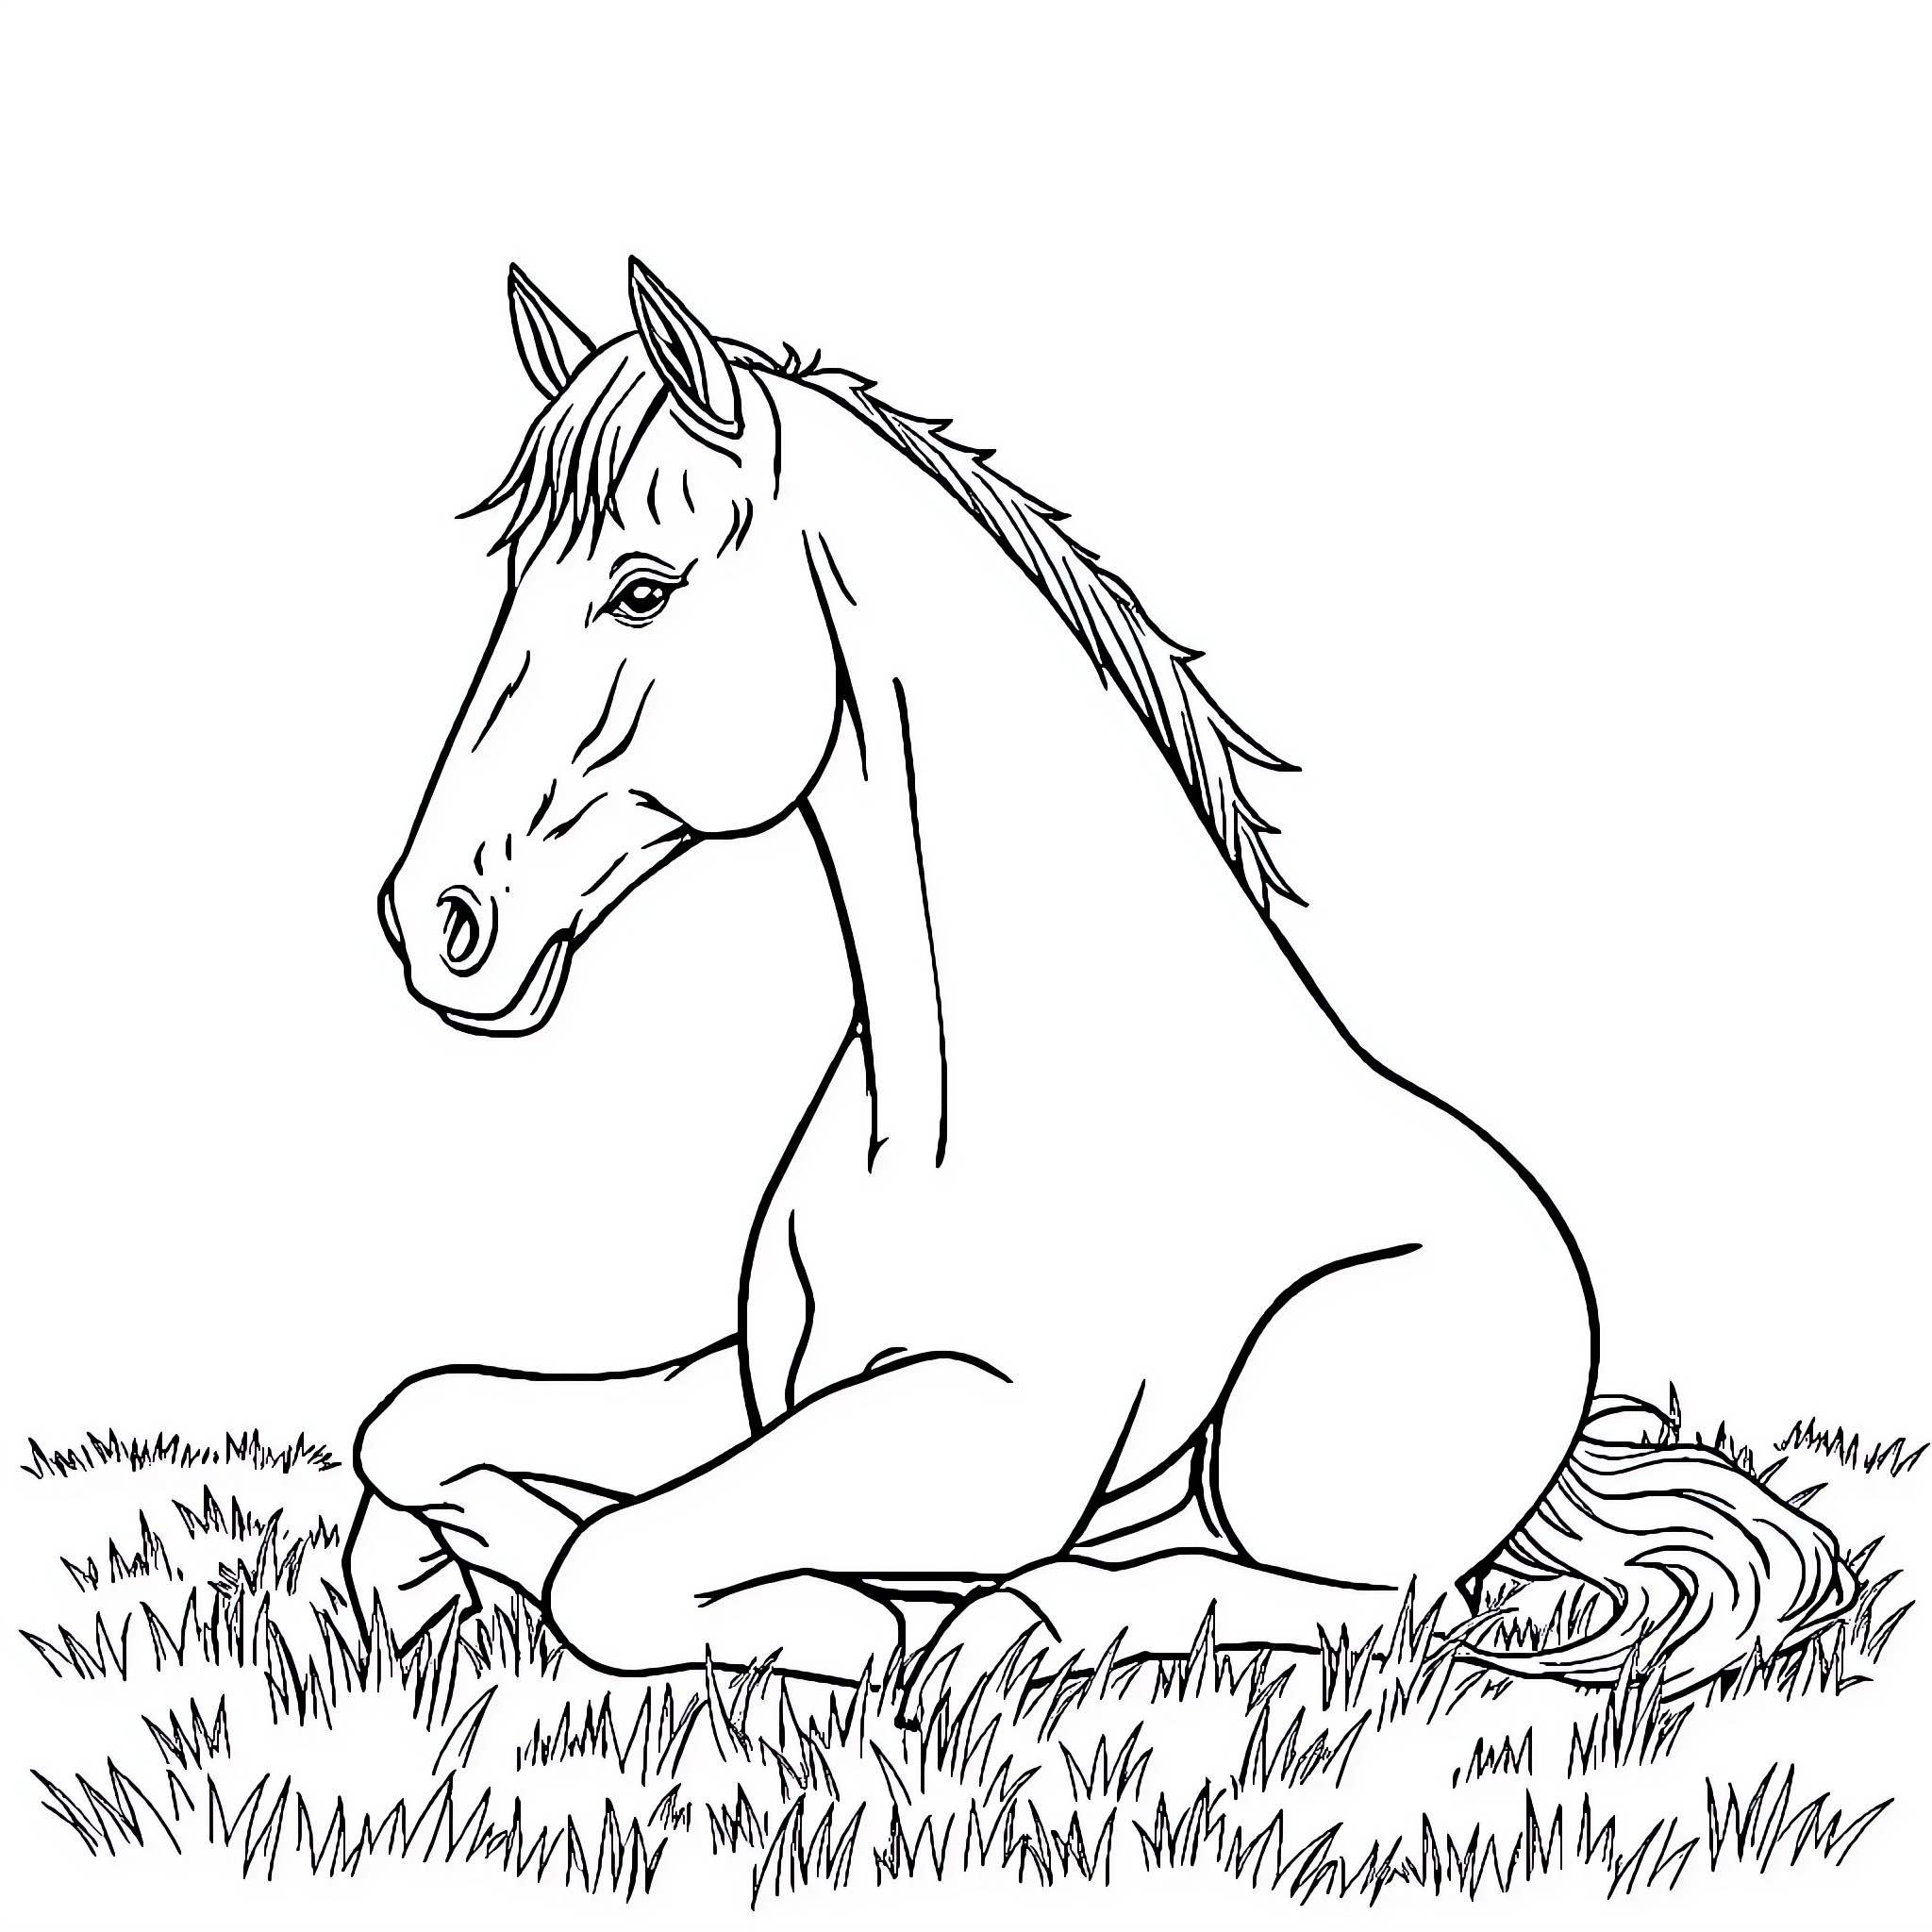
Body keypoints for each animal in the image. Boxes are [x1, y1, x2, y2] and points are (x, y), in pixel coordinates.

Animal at [348, 255, 1856, 1707]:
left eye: (642, 588)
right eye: (509, 578)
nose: (436, 921)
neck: (950, 1115)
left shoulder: (984, 1436)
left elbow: (605, 1564)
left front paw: (849, 1628)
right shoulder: (757, 1388)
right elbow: (416, 1419)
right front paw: (415, 1576)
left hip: (1298, 1471)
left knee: (1371, 1609)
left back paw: (1007, 1627)